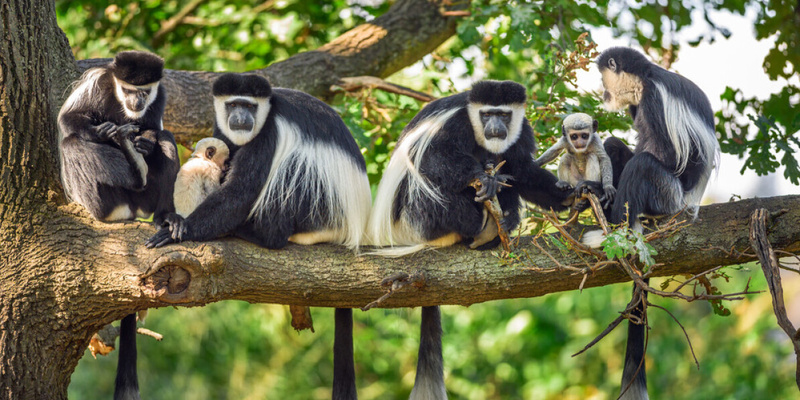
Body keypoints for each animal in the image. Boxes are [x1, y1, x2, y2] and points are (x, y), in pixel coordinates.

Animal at [57, 50, 180, 400]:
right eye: (127, 90)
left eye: (145, 91)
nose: (137, 101)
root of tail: (127, 210)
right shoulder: (97, 82)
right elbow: (69, 119)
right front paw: (105, 132)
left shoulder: (160, 97)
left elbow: (154, 129)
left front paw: (145, 141)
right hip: (97, 196)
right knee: (73, 144)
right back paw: (129, 167)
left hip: (146, 200)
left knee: (167, 140)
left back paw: (164, 214)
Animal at [145, 73, 370, 398]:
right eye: (233, 104)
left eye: (250, 106)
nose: (241, 117)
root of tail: (354, 225)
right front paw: (172, 218)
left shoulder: (268, 133)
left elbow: (241, 190)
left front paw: (180, 231)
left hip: (322, 207)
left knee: (292, 168)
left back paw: (260, 234)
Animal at [366, 79, 580, 398]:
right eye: (486, 114)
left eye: (503, 115)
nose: (495, 127)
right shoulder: (454, 125)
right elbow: (432, 159)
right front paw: (484, 177)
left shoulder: (521, 131)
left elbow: (522, 170)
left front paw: (566, 195)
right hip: (418, 218)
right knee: (430, 182)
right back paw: (482, 221)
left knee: (506, 172)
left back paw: (499, 224)